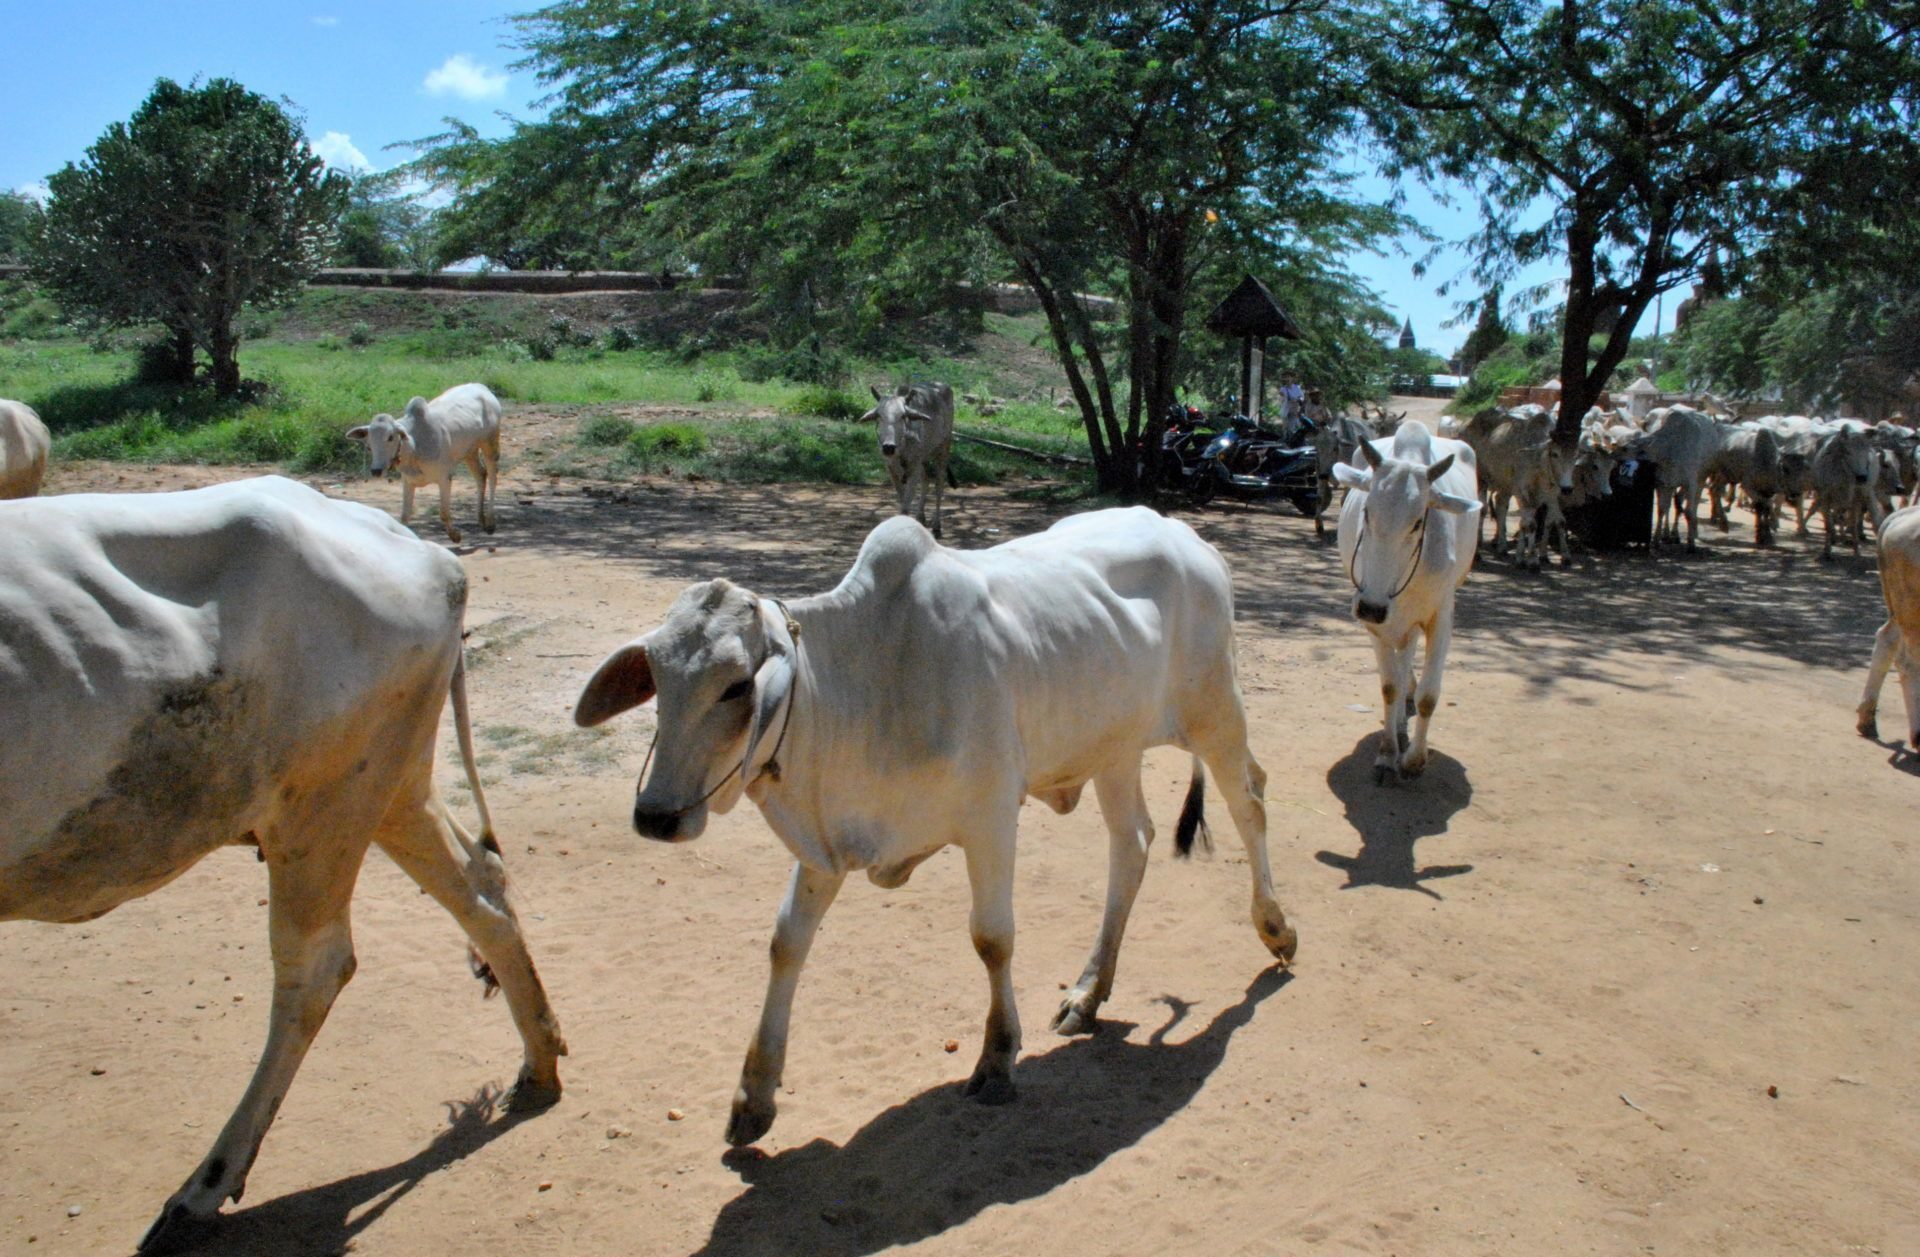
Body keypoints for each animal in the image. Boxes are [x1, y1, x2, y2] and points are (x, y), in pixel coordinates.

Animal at [0, 477, 568, 1251]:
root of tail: (423, 552)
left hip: (322, 808)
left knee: (316, 967)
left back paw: (204, 1187)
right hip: (388, 787)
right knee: (481, 887)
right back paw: (538, 1062)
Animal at [349, 381, 503, 545]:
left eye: (390, 437)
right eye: (369, 443)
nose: (376, 470)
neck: (415, 446)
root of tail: (482, 387)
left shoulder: (445, 478)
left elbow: (443, 513)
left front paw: (455, 535)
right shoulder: (408, 481)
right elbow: (405, 516)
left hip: (490, 444)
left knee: (493, 477)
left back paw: (490, 521)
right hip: (470, 452)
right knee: (481, 475)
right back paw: (480, 518)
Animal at [568, 510, 1290, 1151]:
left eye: (736, 686)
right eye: (658, 678)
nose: (655, 814)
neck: (865, 683)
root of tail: (1188, 535)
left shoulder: (991, 816)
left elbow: (992, 939)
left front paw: (997, 1059)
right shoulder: (828, 846)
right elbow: (786, 943)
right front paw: (754, 1095)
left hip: (1215, 711)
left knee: (1250, 802)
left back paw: (1277, 929)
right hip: (1115, 748)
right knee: (1132, 843)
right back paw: (1088, 992)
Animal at [1336, 418, 1482, 782]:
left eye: (1417, 523)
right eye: (1367, 512)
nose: (1372, 606)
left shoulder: (1440, 616)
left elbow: (1429, 696)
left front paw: (1414, 759)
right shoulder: (1375, 621)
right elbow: (1389, 687)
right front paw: (1388, 753)